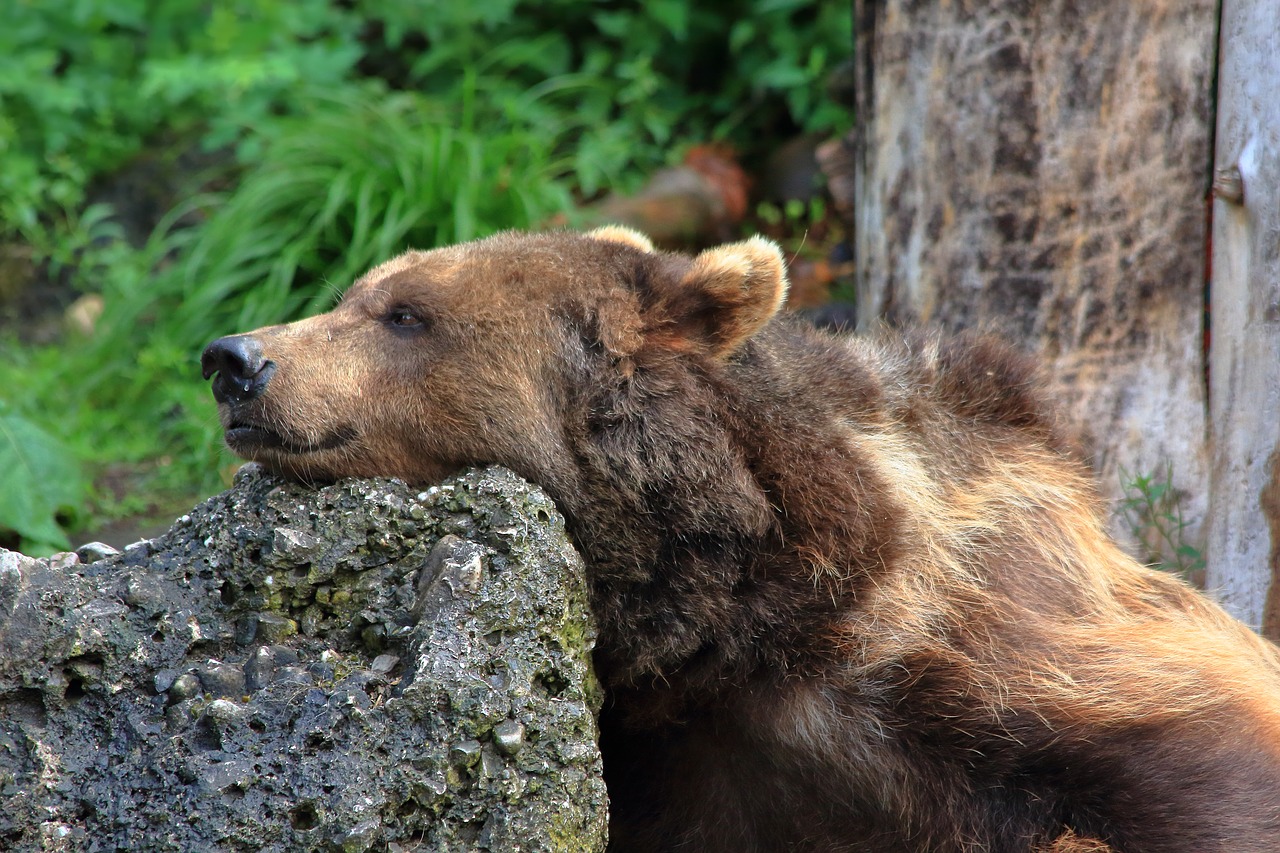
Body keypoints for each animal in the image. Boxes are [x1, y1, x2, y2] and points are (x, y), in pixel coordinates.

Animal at [199, 222, 1280, 845]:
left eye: (405, 314)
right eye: (355, 296)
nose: (233, 357)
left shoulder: (1004, 665)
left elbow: (1198, 778)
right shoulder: (692, 764)